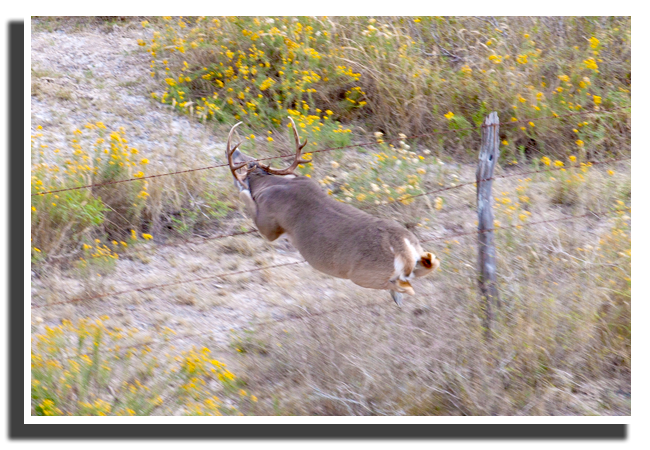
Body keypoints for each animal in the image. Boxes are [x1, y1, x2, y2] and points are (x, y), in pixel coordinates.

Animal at [225, 119, 440, 306]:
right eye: (250, 158)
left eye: (245, 162)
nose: (236, 152)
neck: (272, 183)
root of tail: (403, 247)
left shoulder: (269, 224)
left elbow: (246, 197)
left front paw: (243, 190)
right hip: (413, 257)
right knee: (430, 264)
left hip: (365, 275)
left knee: (405, 285)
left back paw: (398, 296)